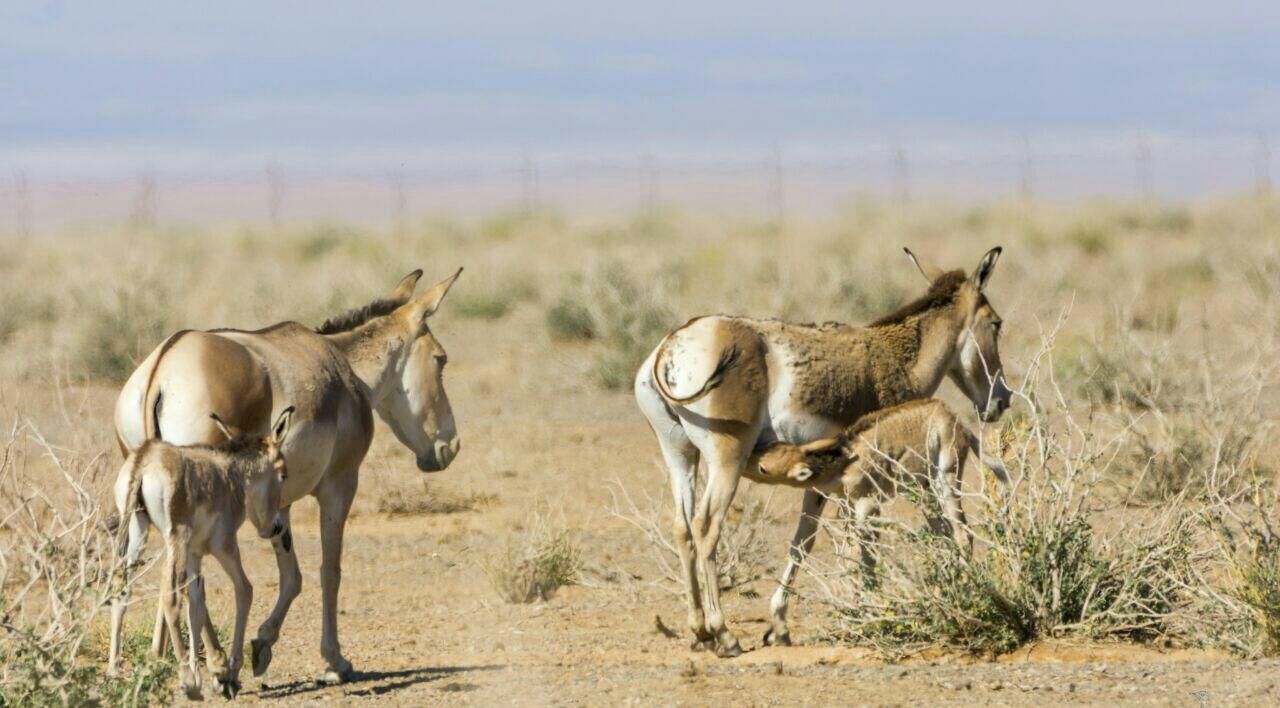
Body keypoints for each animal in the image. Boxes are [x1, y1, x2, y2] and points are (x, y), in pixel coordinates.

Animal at [109, 402, 294, 696]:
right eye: (283, 474)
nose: (275, 527)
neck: (230, 474)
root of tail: (145, 459)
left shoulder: (195, 553)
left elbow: (196, 603)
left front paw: (205, 674)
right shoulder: (225, 547)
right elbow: (244, 589)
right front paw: (229, 674)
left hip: (138, 534)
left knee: (121, 587)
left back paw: (114, 672)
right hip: (174, 539)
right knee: (170, 597)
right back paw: (186, 682)